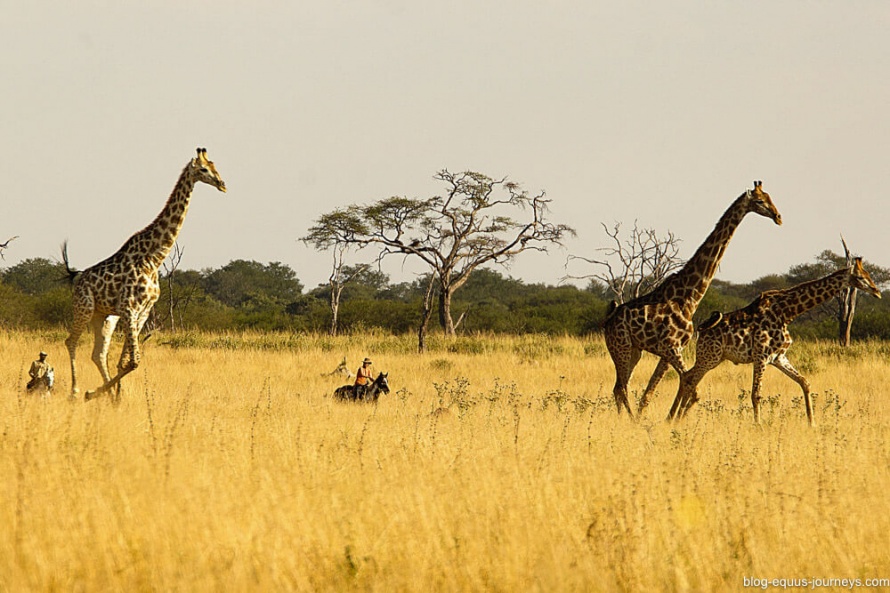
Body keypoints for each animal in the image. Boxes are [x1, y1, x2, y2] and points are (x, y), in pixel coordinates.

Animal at [63, 147, 225, 402]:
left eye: (214, 166)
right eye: (203, 169)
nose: (222, 184)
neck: (154, 258)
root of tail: (77, 278)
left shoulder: (143, 312)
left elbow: (125, 362)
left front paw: (113, 398)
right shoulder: (129, 308)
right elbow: (134, 361)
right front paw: (97, 393)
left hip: (104, 316)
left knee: (98, 353)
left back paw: (103, 393)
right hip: (84, 307)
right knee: (71, 341)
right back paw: (76, 391)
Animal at [600, 180, 780, 416]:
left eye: (770, 197)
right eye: (760, 201)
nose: (778, 216)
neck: (689, 297)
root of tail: (607, 322)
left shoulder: (671, 350)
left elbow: (653, 392)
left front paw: (661, 418)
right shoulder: (671, 347)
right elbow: (690, 388)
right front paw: (668, 419)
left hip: (633, 350)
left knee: (619, 387)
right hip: (620, 345)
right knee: (621, 387)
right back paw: (629, 420)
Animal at [664, 256, 880, 424]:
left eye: (869, 274)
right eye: (861, 277)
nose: (877, 291)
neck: (788, 312)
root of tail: (701, 330)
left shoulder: (778, 357)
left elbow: (805, 382)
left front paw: (812, 422)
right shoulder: (761, 355)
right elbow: (756, 394)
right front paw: (758, 425)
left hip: (714, 357)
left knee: (687, 377)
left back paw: (674, 417)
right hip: (710, 356)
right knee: (689, 378)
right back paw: (675, 418)